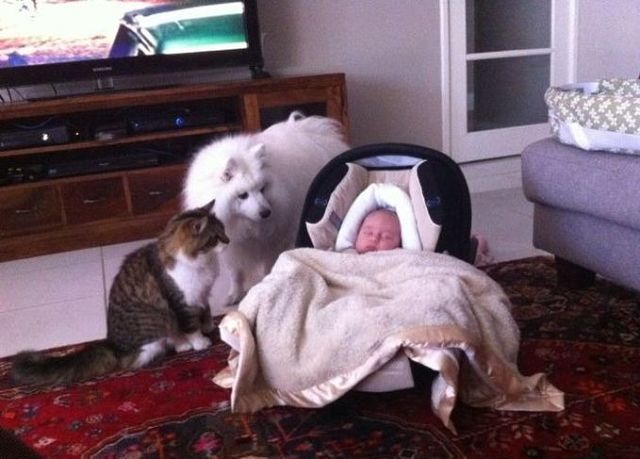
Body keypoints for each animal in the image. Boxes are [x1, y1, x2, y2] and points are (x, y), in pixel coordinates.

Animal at [11, 199, 229, 386]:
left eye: (224, 230)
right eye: (215, 238)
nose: (228, 241)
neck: (203, 262)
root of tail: (112, 345)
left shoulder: (201, 294)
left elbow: (206, 312)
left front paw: (210, 326)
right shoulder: (183, 302)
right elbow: (191, 326)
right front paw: (201, 342)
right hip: (158, 325)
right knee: (139, 358)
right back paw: (179, 347)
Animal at [183, 112, 349, 312]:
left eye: (262, 189)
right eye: (243, 195)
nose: (266, 212)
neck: (243, 225)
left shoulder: (272, 241)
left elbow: (269, 266)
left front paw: (266, 285)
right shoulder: (234, 247)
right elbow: (235, 273)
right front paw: (234, 295)